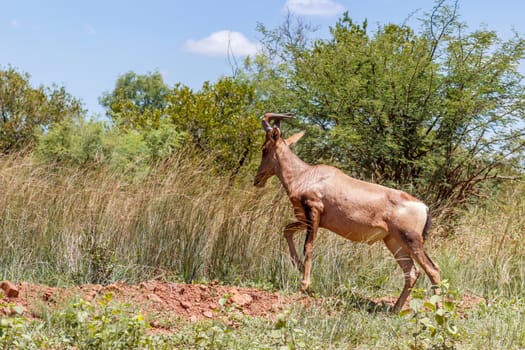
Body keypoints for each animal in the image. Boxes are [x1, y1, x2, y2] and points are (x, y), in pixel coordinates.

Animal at [253, 112, 438, 312]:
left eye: (264, 148)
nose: (257, 179)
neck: (307, 175)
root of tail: (424, 207)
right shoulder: (305, 220)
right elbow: (287, 231)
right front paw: (298, 266)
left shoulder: (314, 211)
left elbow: (308, 246)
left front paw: (304, 285)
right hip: (393, 241)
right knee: (411, 272)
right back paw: (395, 309)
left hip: (411, 240)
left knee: (433, 269)